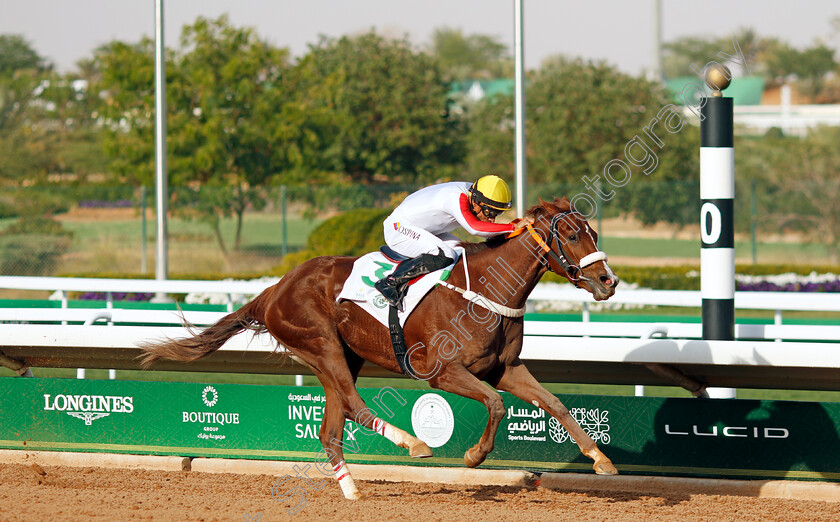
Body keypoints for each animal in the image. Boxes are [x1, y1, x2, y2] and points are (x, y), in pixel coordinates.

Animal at [141, 197, 620, 498]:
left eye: (594, 232)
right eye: (571, 236)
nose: (608, 281)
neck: (486, 288)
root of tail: (275, 289)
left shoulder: (505, 368)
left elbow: (554, 403)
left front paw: (600, 459)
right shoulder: (441, 371)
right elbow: (496, 404)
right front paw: (473, 455)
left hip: (338, 357)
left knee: (331, 429)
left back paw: (352, 489)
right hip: (320, 344)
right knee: (354, 407)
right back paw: (412, 443)